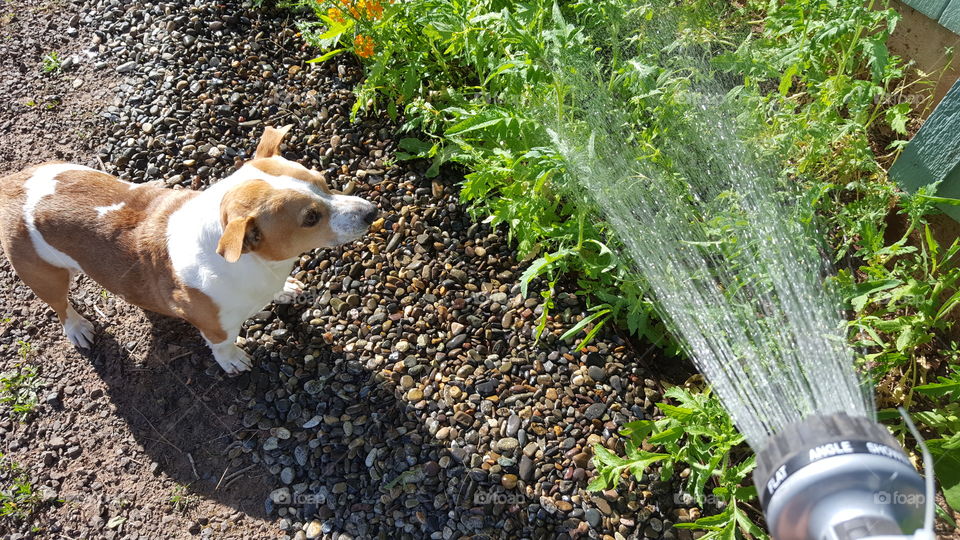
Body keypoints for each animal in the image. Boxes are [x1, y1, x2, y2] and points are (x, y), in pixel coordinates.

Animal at [0, 125, 378, 376]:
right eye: (310, 218)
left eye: (323, 180)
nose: (372, 212)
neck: (258, 265)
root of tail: (13, 183)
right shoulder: (217, 328)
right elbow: (223, 346)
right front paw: (233, 361)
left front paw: (286, 290)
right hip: (45, 276)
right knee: (60, 306)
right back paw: (77, 328)